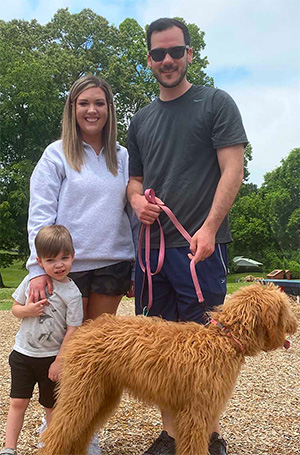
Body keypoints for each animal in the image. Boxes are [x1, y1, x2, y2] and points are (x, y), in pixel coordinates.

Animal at [40, 284, 298, 455]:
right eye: (285, 308)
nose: (295, 324)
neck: (224, 339)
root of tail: (86, 329)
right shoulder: (196, 412)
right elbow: (194, 447)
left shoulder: (196, 412)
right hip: (82, 393)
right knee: (57, 433)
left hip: (102, 395)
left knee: (79, 433)